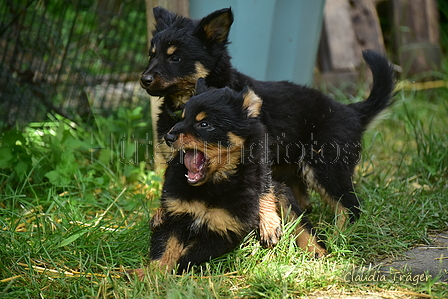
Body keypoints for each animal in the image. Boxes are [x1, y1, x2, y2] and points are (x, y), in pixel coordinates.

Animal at [145, 81, 324, 276]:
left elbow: (187, 256)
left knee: (300, 221)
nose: (168, 137)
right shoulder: (175, 216)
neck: (212, 185)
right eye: (182, 119)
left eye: (204, 124)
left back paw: (315, 250)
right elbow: (165, 249)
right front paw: (150, 275)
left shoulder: (225, 231)